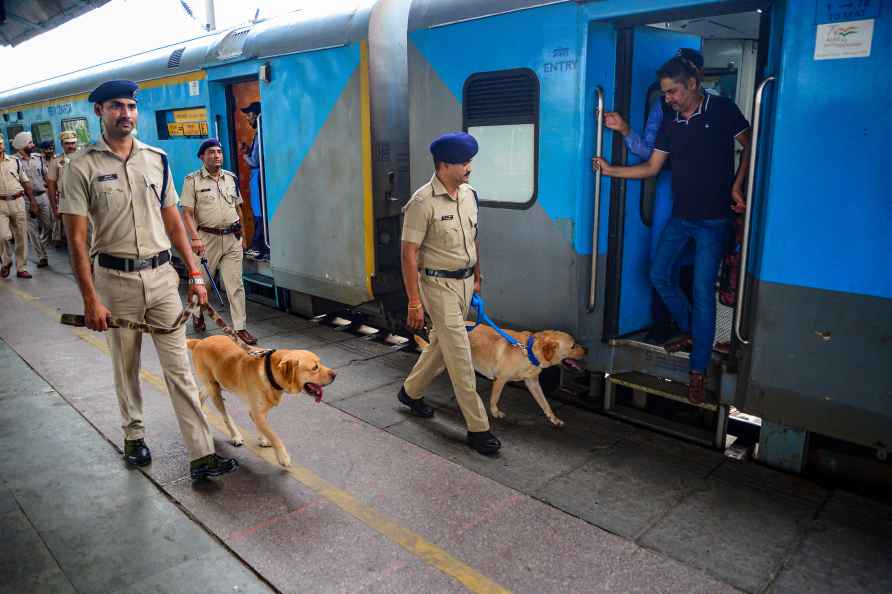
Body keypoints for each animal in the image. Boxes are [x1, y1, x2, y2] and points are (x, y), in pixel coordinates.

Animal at [186, 332, 336, 468]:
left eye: (320, 362)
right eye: (315, 367)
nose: (335, 374)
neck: (270, 373)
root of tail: (199, 342)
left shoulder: (260, 412)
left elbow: (263, 428)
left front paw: (263, 439)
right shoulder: (256, 412)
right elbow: (274, 436)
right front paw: (283, 457)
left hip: (214, 385)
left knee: (199, 396)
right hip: (215, 390)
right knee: (225, 416)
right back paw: (235, 436)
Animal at [416, 324, 588, 426]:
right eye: (573, 346)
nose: (587, 349)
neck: (528, 351)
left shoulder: (533, 383)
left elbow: (545, 403)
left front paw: (554, 419)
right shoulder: (500, 379)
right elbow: (495, 398)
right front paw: (495, 412)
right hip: (439, 364)